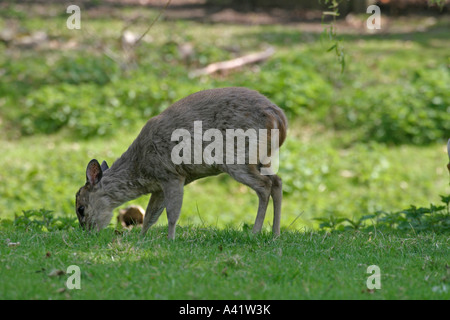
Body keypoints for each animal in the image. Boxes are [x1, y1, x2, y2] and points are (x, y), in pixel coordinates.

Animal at [76, 86, 288, 239]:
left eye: (81, 208)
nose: (87, 233)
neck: (141, 168)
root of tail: (279, 118)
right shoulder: (159, 186)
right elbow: (151, 215)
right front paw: (141, 239)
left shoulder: (171, 175)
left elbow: (172, 213)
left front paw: (170, 239)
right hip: (261, 157)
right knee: (277, 181)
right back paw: (276, 234)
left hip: (237, 157)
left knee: (265, 185)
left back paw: (255, 232)